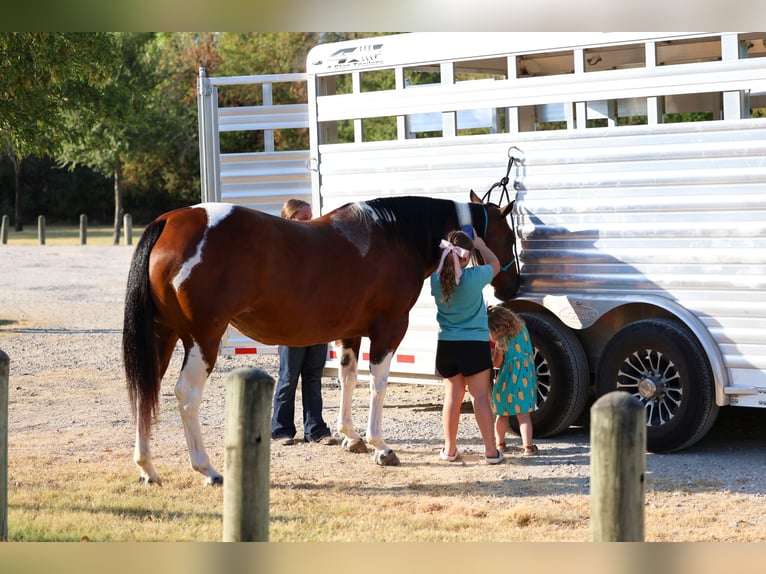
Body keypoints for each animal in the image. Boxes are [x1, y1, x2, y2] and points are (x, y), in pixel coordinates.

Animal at [122, 191, 520, 485]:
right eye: (509, 236)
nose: (511, 285)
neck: (394, 236)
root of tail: (168, 222)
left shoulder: (350, 332)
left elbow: (348, 378)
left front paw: (351, 437)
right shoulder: (390, 329)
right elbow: (377, 385)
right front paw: (381, 447)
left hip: (162, 336)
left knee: (146, 390)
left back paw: (147, 468)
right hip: (203, 338)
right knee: (185, 395)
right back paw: (207, 469)